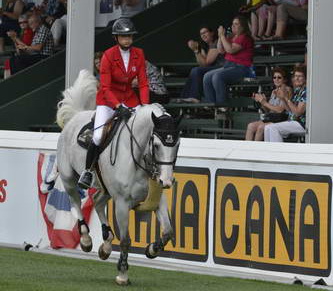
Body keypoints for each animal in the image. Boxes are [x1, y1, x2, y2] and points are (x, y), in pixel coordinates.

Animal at [55, 70, 180, 286]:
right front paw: (122, 274)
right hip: (69, 178)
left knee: (97, 201)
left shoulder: (158, 199)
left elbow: (168, 232)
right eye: (156, 145)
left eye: (177, 144)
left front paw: (151, 249)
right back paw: (86, 240)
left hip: (105, 188)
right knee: (75, 201)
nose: (166, 181)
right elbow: (125, 240)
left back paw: (105, 245)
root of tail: (76, 116)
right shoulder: (122, 203)